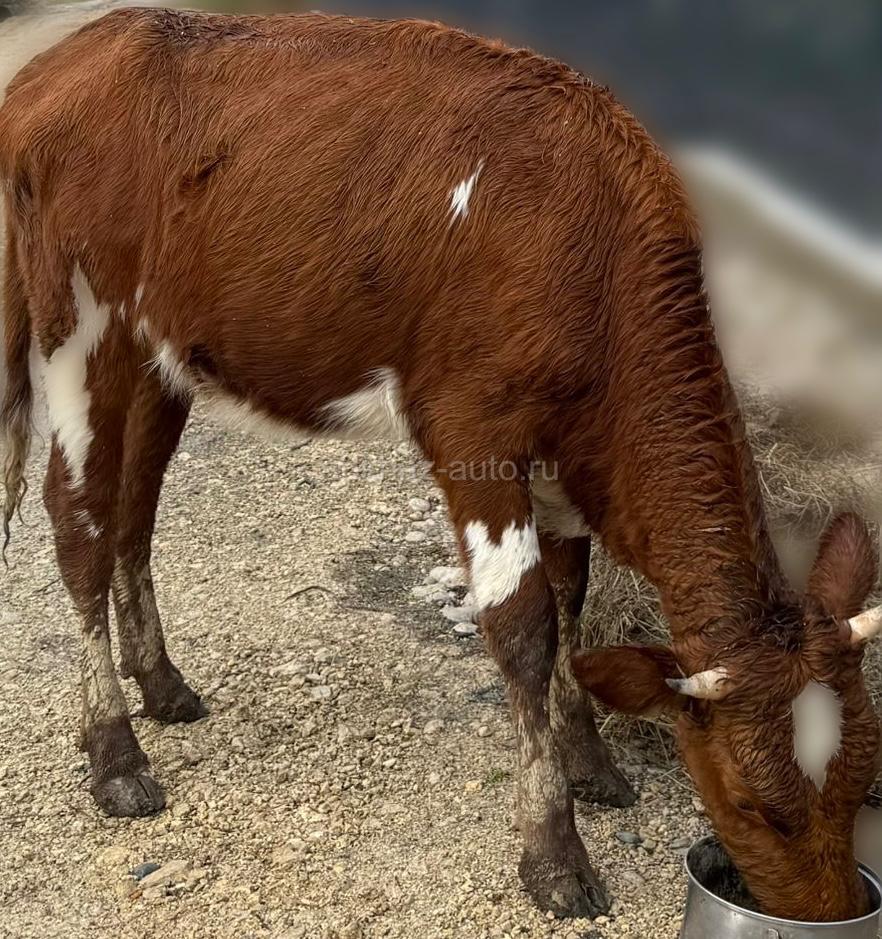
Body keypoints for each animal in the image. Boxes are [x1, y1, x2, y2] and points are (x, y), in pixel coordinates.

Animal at [1, 8, 880, 923]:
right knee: (78, 520)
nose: (832, 911)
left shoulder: (564, 451)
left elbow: (573, 599)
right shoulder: (473, 426)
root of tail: (76, 52)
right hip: (78, 325)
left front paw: (590, 760)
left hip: (159, 349)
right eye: (753, 803)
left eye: (864, 776)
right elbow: (525, 625)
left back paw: (163, 684)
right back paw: (115, 754)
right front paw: (555, 853)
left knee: (133, 507)